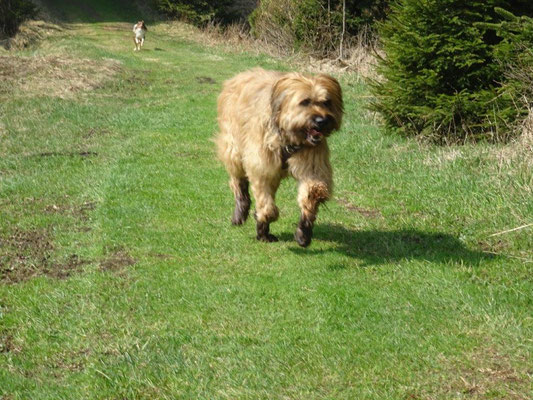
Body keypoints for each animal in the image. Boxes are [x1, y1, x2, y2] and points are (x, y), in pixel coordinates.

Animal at [214, 67, 342, 245]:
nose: (321, 121)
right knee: (238, 180)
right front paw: (263, 224)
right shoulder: (261, 165)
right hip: (233, 146)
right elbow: (267, 205)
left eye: (326, 102)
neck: (289, 136)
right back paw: (241, 211)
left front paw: (303, 231)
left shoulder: (312, 163)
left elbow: (312, 192)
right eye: (305, 102)